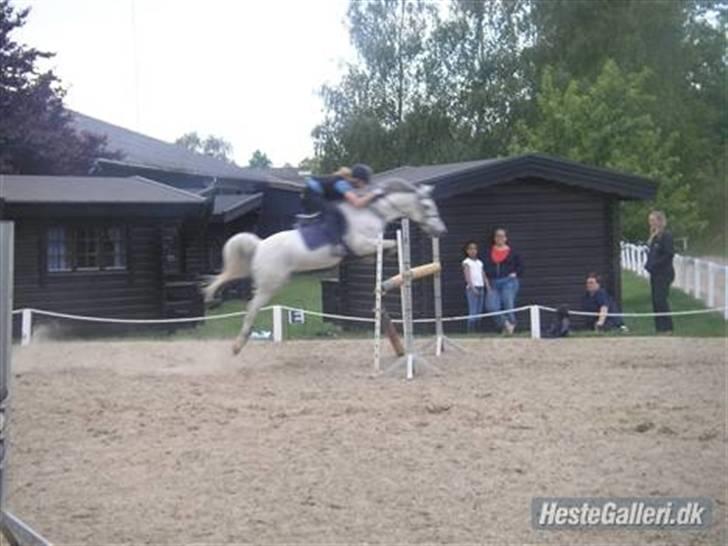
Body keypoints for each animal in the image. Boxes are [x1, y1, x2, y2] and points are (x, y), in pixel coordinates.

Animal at [202, 180, 446, 352]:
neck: (373, 212)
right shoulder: (361, 243)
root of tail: (260, 245)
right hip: (271, 284)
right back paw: (238, 344)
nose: (441, 231)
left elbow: (387, 248)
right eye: (426, 206)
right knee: (252, 307)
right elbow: (390, 243)